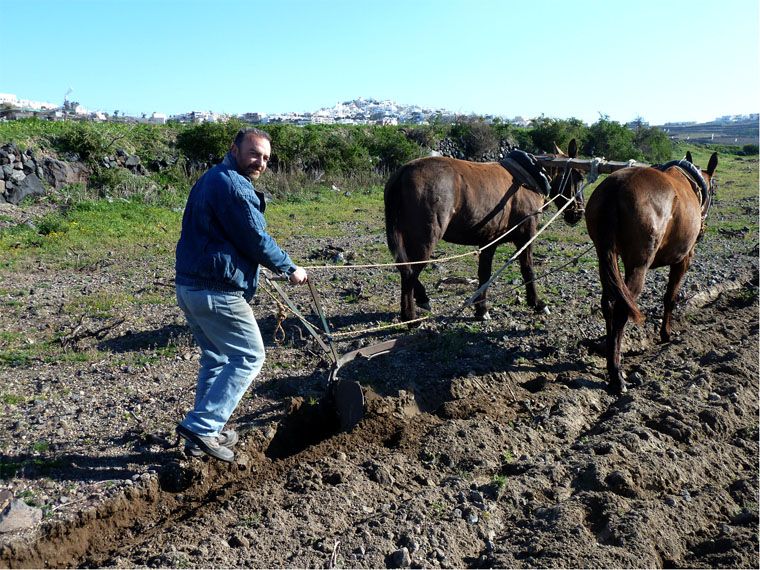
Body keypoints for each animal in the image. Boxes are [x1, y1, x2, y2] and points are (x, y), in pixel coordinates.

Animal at [382, 140, 584, 322]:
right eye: (579, 177)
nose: (579, 213)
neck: (528, 179)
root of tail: (403, 172)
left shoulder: (489, 240)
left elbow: (484, 274)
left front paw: (481, 309)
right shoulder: (526, 235)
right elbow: (527, 269)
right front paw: (536, 303)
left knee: (404, 267)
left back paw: (421, 299)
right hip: (425, 238)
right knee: (409, 272)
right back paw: (409, 315)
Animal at [584, 150, 720, 390]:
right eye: (713, 190)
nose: (703, 229)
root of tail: (616, 188)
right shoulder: (683, 260)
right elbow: (670, 297)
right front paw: (666, 334)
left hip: (605, 258)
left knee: (608, 304)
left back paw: (610, 355)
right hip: (638, 266)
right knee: (622, 308)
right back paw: (616, 374)